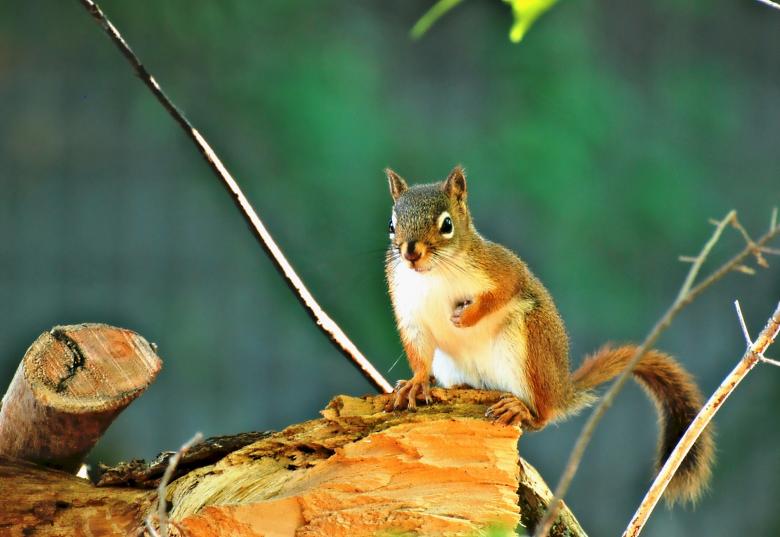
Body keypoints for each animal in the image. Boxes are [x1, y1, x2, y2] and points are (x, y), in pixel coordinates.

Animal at [383, 165, 714, 505]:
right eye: (392, 224)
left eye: (446, 224)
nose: (410, 253)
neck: (433, 275)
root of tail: (560, 389)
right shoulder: (407, 307)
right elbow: (418, 349)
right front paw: (415, 384)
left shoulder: (498, 268)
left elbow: (505, 290)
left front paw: (467, 317)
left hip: (530, 344)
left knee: (542, 416)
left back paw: (522, 409)